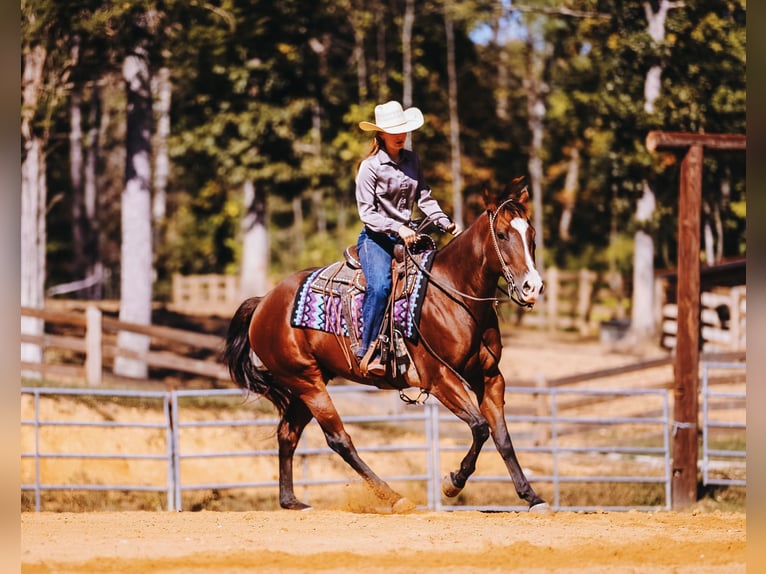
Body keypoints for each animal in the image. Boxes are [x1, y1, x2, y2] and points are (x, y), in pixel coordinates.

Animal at [223, 177, 549, 512]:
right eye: (502, 234)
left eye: (532, 235)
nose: (532, 287)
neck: (453, 294)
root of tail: (264, 303)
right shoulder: (440, 379)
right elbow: (481, 427)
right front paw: (452, 483)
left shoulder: (489, 377)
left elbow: (502, 437)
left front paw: (532, 497)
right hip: (307, 382)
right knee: (339, 439)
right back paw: (394, 496)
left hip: (308, 382)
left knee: (287, 434)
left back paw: (291, 501)